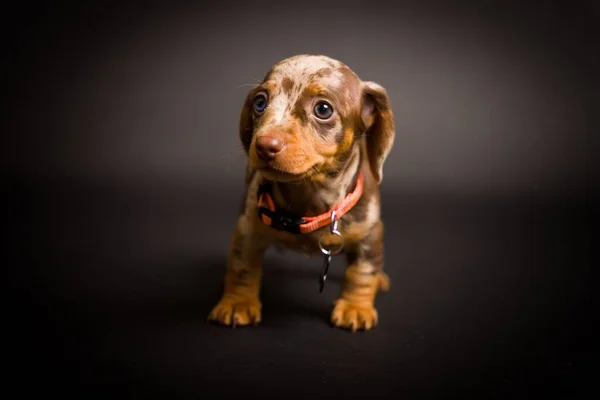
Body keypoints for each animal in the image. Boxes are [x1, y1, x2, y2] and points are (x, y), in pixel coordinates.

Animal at [209, 54, 396, 332]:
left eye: (323, 109)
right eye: (260, 102)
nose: (264, 146)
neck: (309, 197)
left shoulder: (369, 233)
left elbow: (361, 271)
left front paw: (355, 307)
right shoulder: (247, 227)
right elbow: (242, 267)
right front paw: (238, 303)